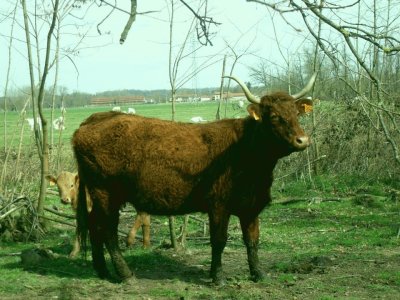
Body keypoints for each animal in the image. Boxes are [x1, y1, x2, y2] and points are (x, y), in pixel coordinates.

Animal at [72, 73, 316, 284]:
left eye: (297, 114)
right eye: (274, 117)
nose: (302, 140)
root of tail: (95, 118)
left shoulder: (250, 206)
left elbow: (252, 240)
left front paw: (258, 274)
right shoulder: (218, 205)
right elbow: (219, 241)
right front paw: (217, 277)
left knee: (94, 225)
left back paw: (102, 271)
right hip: (105, 192)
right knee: (107, 230)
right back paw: (126, 274)